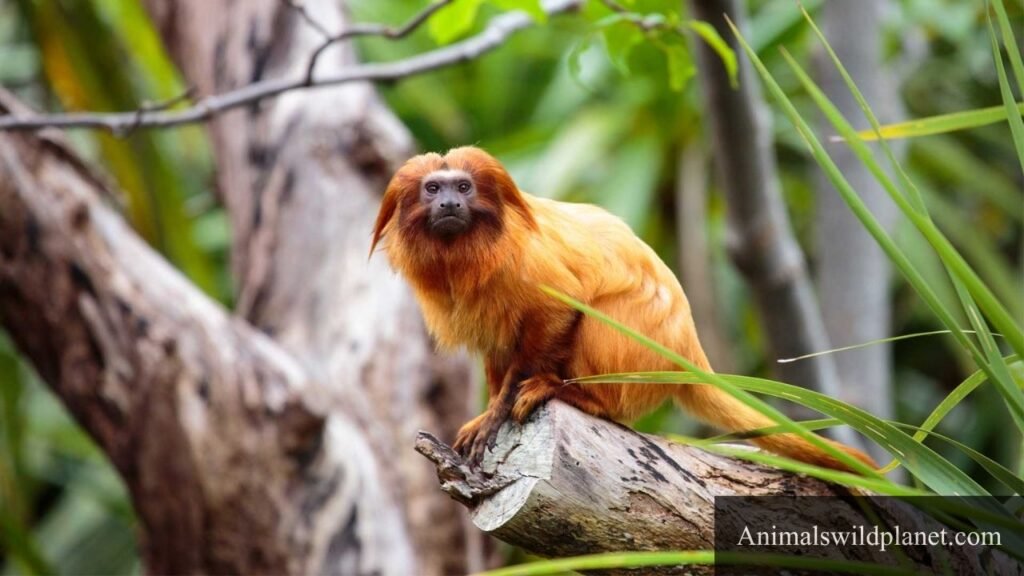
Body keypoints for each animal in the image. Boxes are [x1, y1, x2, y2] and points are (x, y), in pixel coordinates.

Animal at [370, 146, 877, 473]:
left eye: (464, 187)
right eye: (433, 189)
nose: (449, 203)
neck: (469, 252)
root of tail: (686, 350)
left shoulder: (528, 267)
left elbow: (560, 310)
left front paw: (499, 412)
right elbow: (500, 354)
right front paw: (489, 409)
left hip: (639, 352)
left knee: (600, 323)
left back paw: (576, 396)